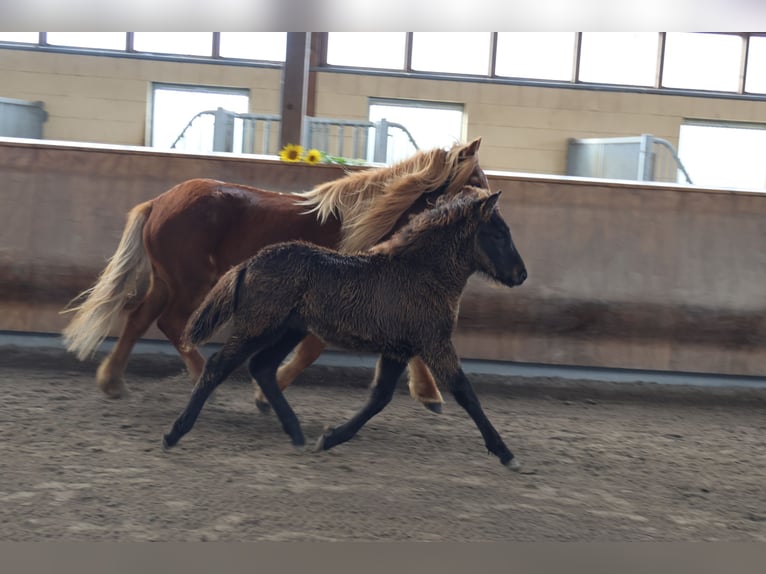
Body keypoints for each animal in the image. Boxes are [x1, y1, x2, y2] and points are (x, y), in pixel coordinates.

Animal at [61, 137, 492, 412]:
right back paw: (203, 381)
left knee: (138, 320)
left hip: (166, 280)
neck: (364, 219)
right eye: (476, 180)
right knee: (174, 324)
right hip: (191, 281)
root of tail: (158, 202)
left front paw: (429, 394)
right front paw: (265, 395)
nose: (493, 210)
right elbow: (311, 350)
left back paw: (113, 382)